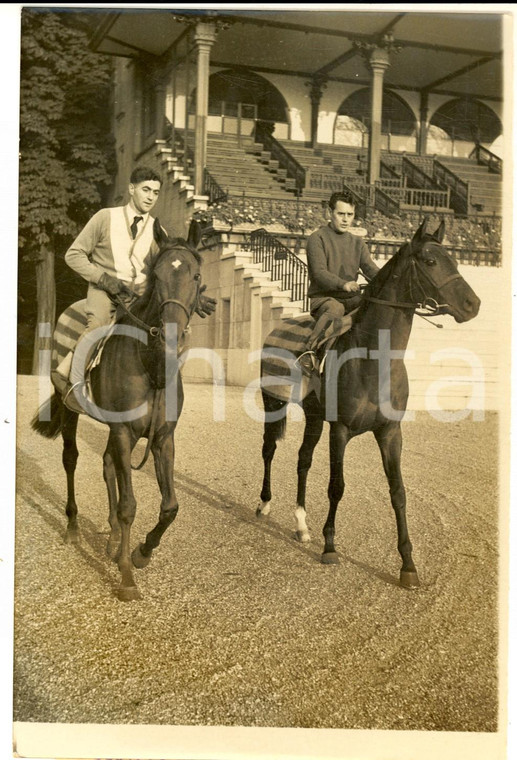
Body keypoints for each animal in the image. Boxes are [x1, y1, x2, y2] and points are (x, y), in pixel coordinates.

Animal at [31, 218, 206, 600]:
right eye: (156, 275)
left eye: (196, 275)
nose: (172, 336)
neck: (151, 364)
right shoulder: (125, 432)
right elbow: (129, 506)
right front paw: (126, 575)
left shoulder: (161, 438)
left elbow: (170, 506)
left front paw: (142, 552)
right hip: (73, 413)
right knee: (71, 459)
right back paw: (73, 527)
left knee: (108, 465)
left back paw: (111, 539)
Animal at [258, 218, 480, 588]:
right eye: (431, 261)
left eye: (454, 259)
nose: (472, 304)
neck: (374, 359)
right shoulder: (341, 430)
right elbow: (337, 487)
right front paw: (330, 546)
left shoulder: (390, 432)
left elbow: (398, 493)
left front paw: (408, 564)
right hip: (272, 404)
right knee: (269, 450)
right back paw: (263, 505)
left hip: (313, 417)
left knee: (303, 460)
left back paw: (301, 526)